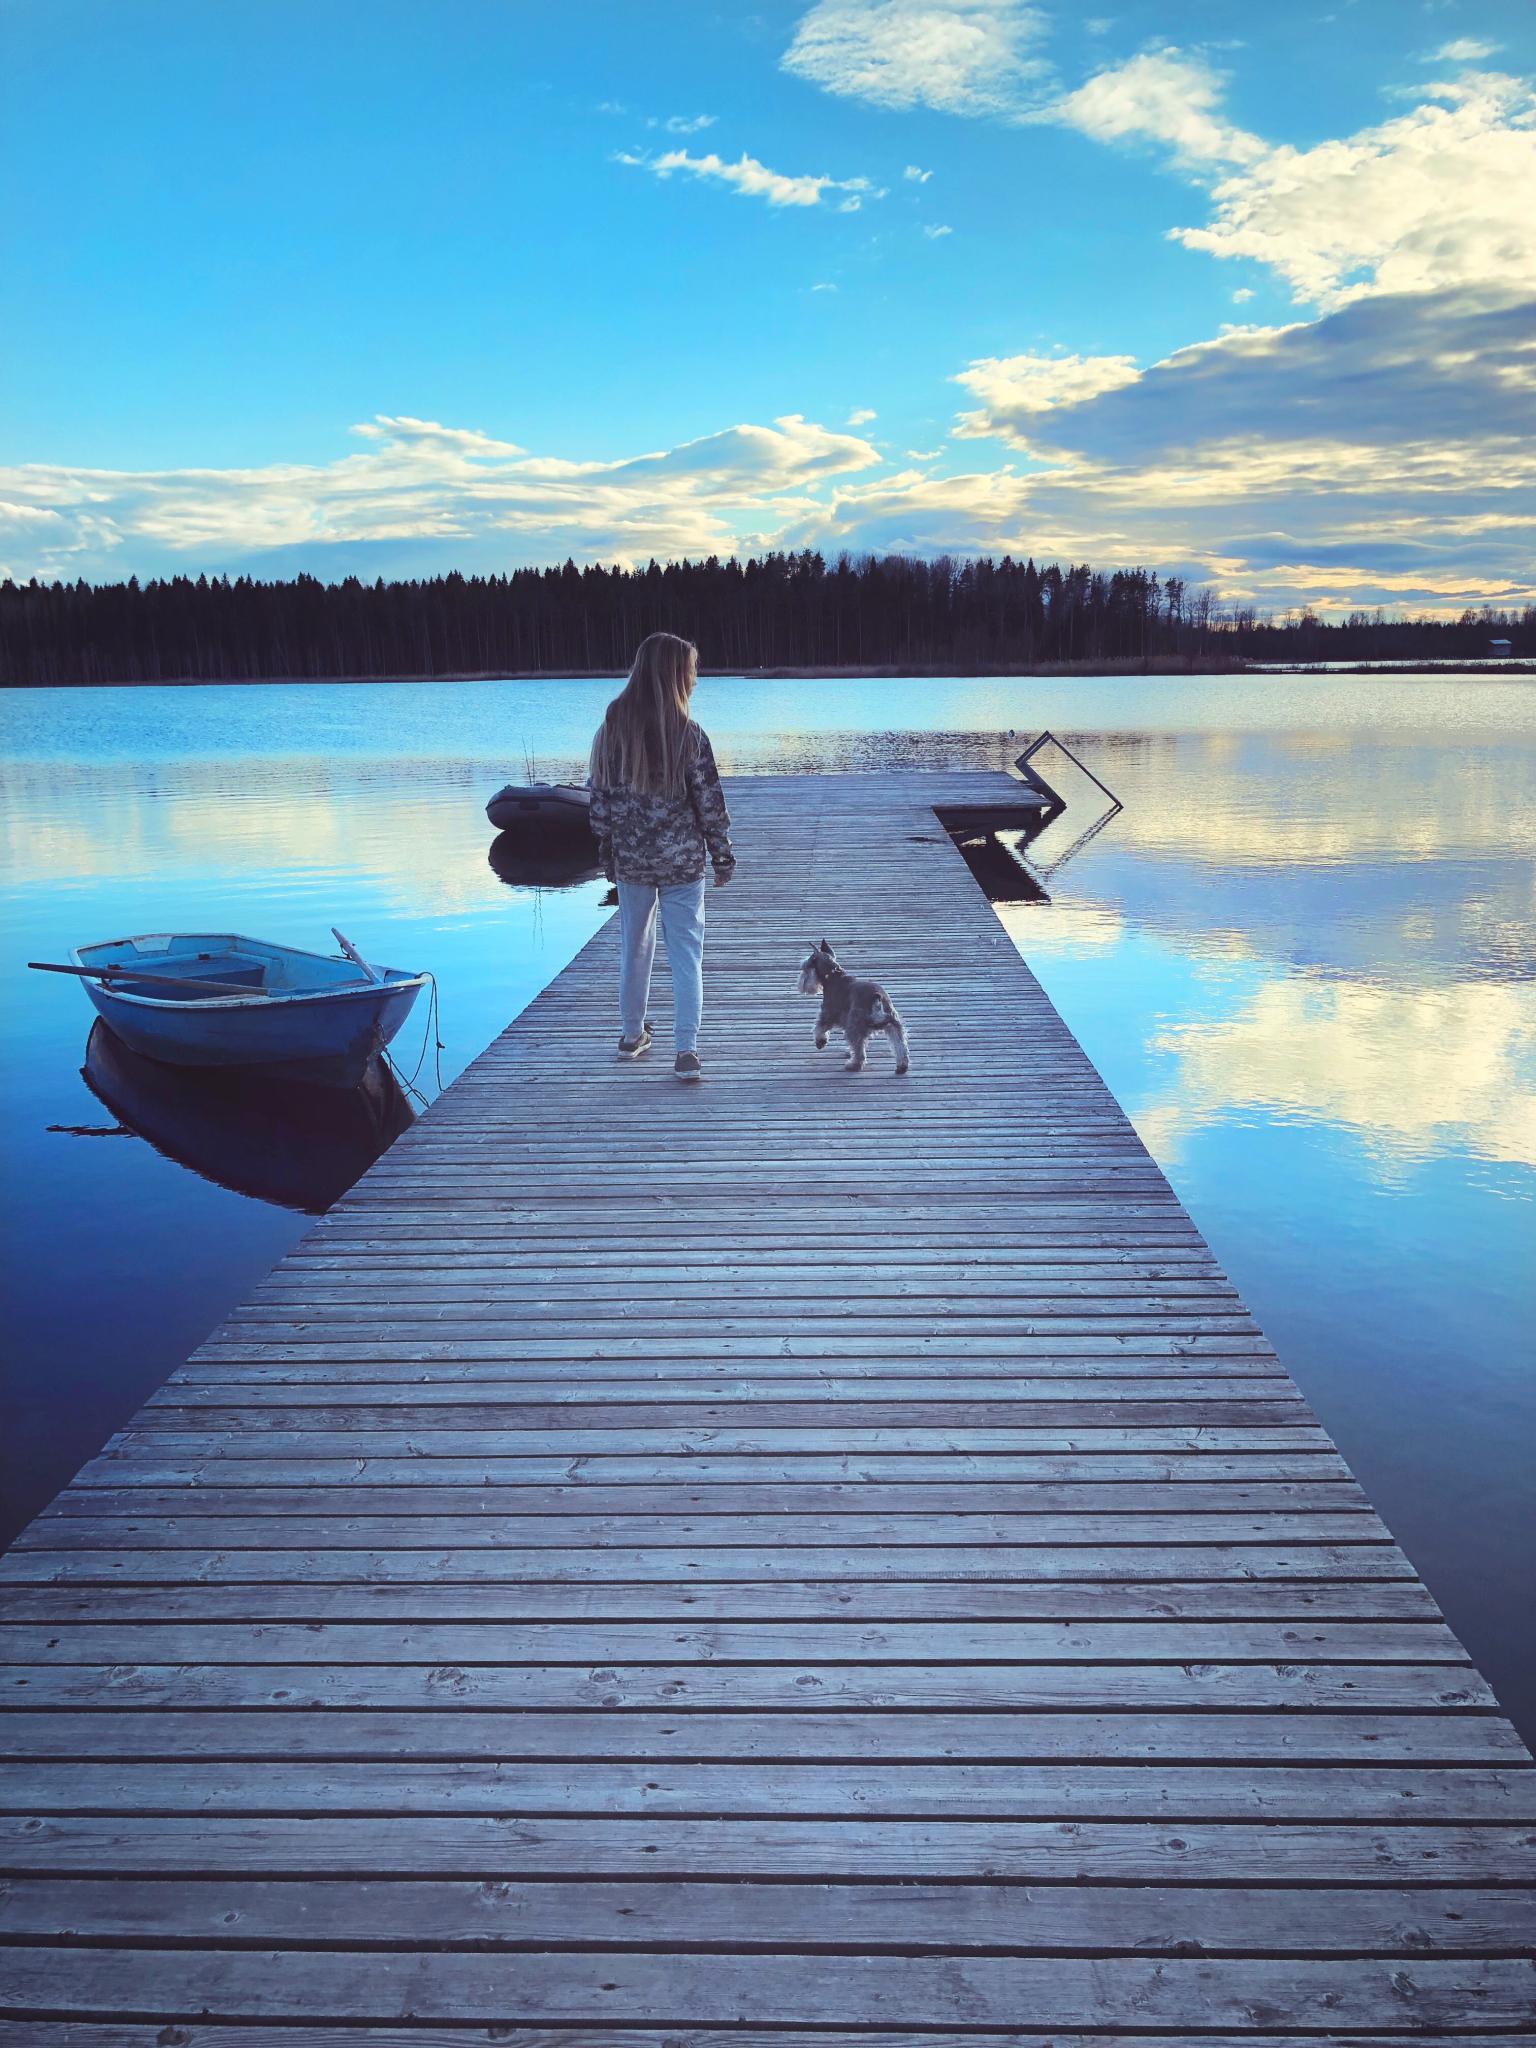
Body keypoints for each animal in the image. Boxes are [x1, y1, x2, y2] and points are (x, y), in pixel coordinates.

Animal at [798, 937, 909, 1081]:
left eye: (806, 967)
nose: (801, 985)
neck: (833, 976)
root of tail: (877, 998)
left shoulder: (828, 1013)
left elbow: (819, 1028)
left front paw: (820, 1041)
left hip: (855, 1025)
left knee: (859, 1051)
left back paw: (853, 1065)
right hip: (894, 1024)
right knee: (900, 1046)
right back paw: (902, 1066)